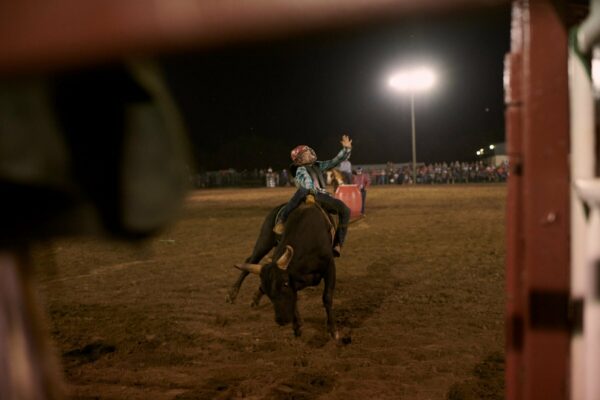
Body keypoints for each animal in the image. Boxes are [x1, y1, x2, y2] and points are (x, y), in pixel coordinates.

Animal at [229, 203, 340, 338]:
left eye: (285, 284)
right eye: (269, 293)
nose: (280, 320)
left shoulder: (329, 267)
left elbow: (327, 297)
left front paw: (333, 330)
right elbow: (294, 297)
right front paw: (297, 325)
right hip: (264, 241)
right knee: (251, 260)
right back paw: (233, 294)